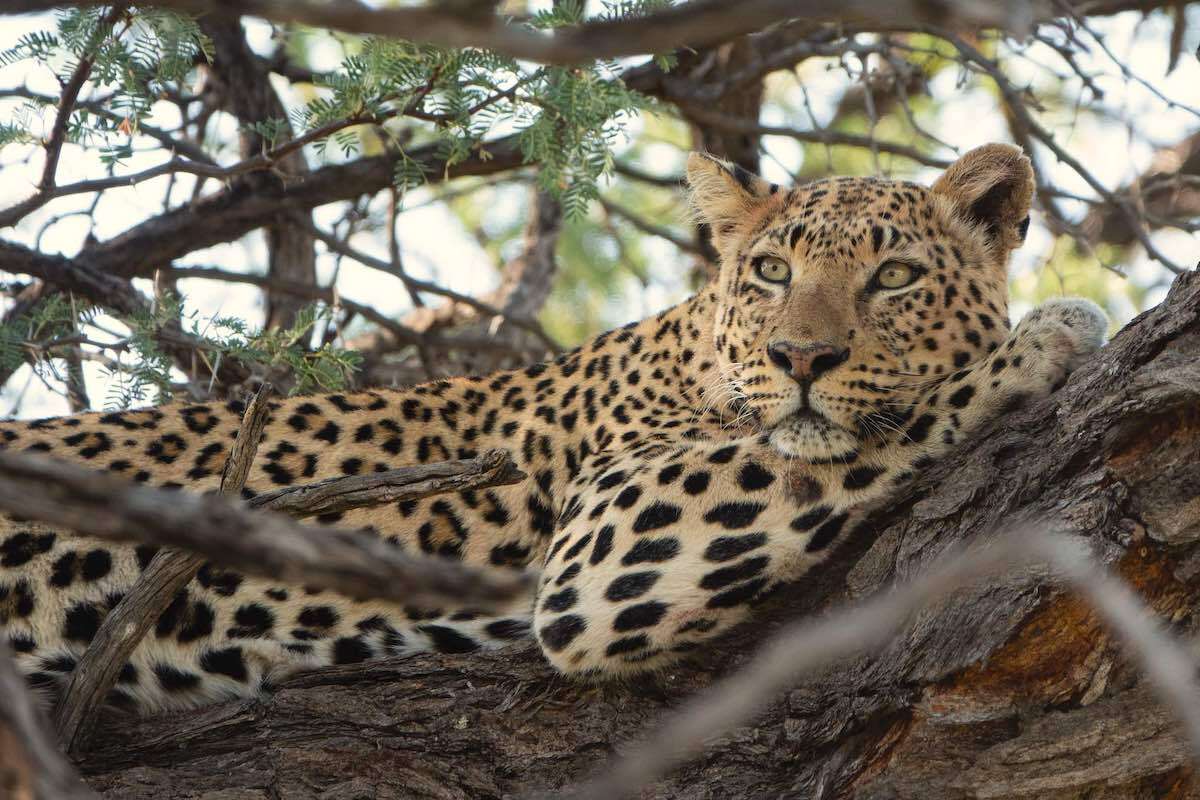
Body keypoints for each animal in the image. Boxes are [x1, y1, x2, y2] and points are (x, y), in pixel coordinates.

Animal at [0, 143, 1104, 714]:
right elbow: (855, 437)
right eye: (771, 272)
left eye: (896, 277)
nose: (801, 359)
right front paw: (1045, 338)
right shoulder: (610, 534)